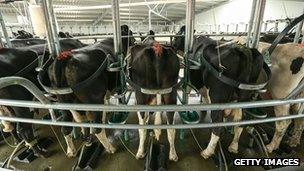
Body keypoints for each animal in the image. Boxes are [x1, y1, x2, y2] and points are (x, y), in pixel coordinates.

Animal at [172, 26, 264, 159]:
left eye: (177, 35)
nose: (172, 44)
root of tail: (241, 49)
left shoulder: (193, 79)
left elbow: (195, 92)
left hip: (218, 97)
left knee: (217, 124)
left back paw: (207, 151)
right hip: (244, 99)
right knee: (241, 121)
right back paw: (233, 146)